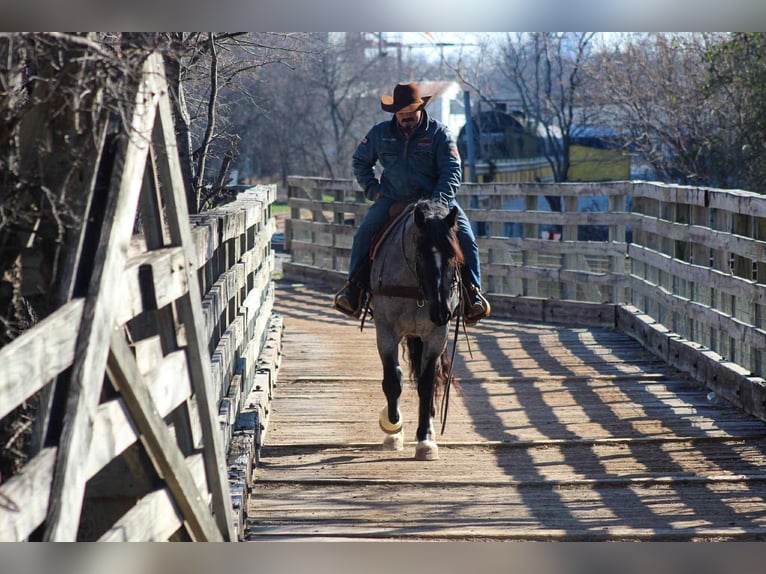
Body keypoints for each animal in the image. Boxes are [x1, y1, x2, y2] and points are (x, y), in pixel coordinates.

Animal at [368, 199, 464, 461]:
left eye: (453, 255)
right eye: (420, 253)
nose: (441, 311)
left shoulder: (436, 336)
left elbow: (426, 383)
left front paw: (425, 439)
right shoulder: (386, 331)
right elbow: (393, 380)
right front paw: (392, 426)